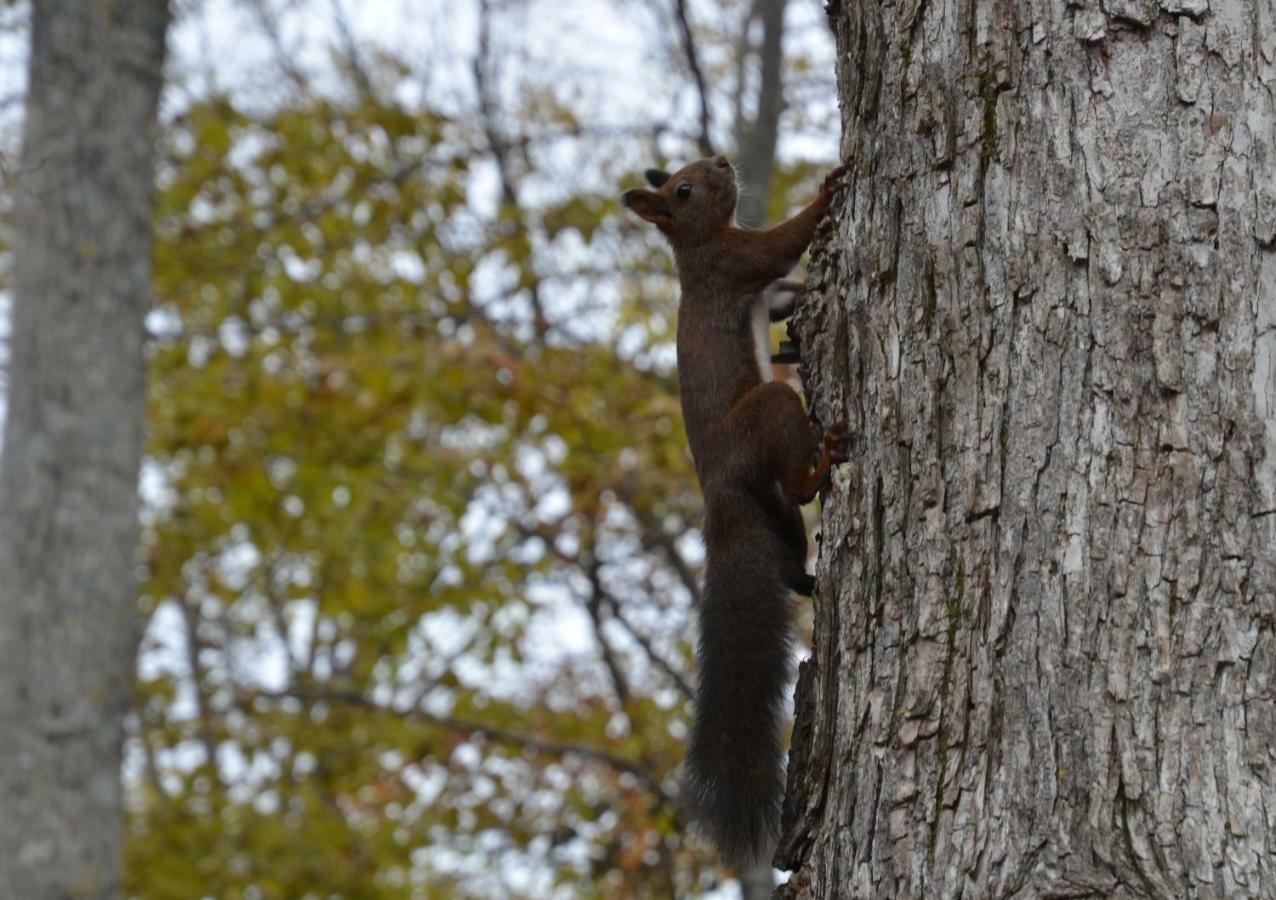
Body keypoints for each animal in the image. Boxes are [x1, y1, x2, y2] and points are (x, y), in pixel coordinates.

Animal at [625, 158, 852, 868]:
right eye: (684, 189)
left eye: (689, 172)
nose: (723, 162)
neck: (694, 246)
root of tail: (721, 503)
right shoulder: (733, 262)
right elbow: (780, 246)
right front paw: (826, 193)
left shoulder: (752, 280)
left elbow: (782, 292)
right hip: (767, 414)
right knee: (799, 480)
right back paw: (823, 461)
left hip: (772, 514)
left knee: (788, 547)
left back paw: (807, 579)